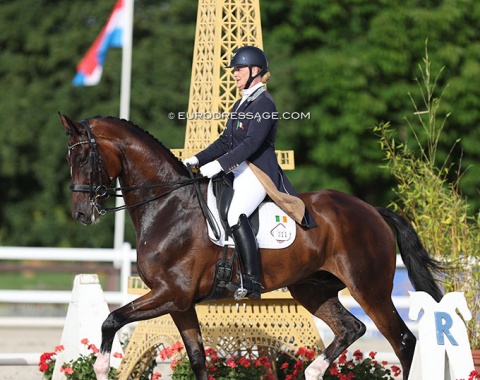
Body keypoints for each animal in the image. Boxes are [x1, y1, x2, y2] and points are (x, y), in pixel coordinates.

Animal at [60, 113, 442, 380]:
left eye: (83, 159)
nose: (81, 214)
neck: (168, 205)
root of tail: (370, 209)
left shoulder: (171, 294)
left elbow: (110, 321)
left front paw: (101, 368)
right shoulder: (179, 304)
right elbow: (198, 360)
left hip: (369, 289)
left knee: (403, 342)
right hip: (313, 289)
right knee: (352, 329)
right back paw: (314, 370)